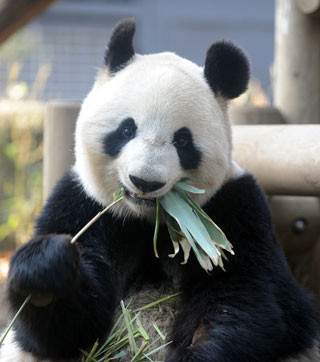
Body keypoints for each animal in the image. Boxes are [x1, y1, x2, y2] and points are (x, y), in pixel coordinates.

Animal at [0, 17, 318, 362]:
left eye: (183, 140)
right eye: (127, 129)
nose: (145, 181)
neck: (149, 220)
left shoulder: (232, 211)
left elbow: (245, 298)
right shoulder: (83, 203)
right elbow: (62, 334)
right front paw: (45, 268)